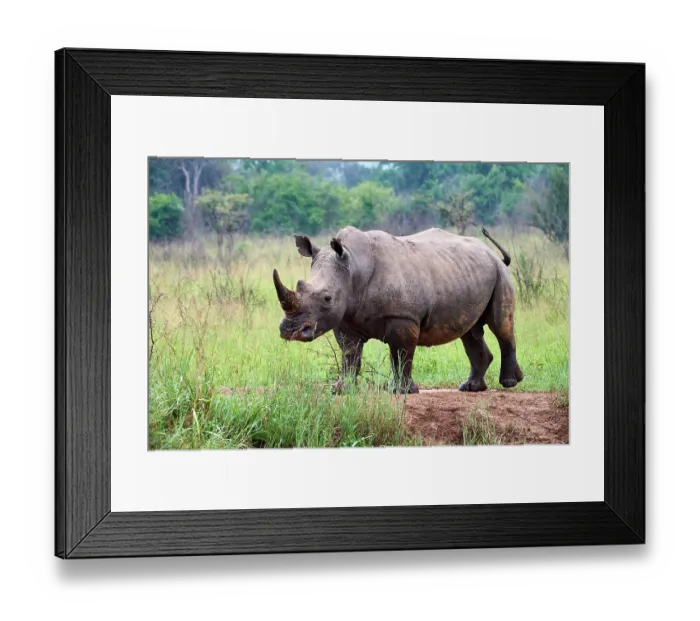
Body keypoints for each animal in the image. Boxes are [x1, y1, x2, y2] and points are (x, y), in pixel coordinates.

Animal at [273, 226, 523, 394]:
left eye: (327, 298)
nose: (291, 331)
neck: (353, 267)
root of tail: (492, 253)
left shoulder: (403, 316)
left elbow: (401, 353)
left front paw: (401, 391)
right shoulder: (344, 319)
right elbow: (349, 355)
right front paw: (341, 389)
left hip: (499, 274)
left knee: (500, 325)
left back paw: (509, 383)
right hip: (466, 272)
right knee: (470, 332)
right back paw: (471, 387)